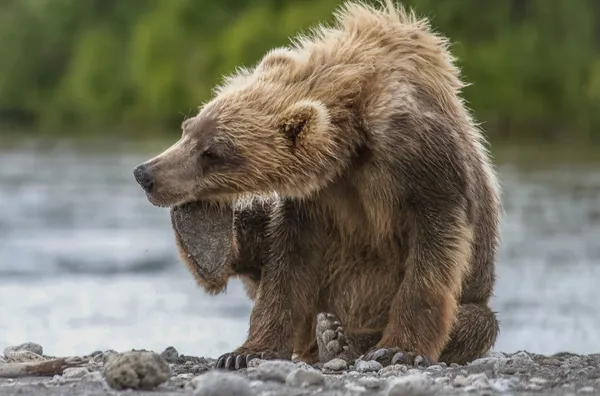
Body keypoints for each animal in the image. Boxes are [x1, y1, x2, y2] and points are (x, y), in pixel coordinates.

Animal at [132, 0, 502, 370]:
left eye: (213, 152)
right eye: (188, 128)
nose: (146, 174)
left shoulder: (423, 162)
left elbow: (432, 251)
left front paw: (399, 348)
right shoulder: (314, 198)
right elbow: (287, 264)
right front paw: (247, 351)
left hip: (475, 298)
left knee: (478, 323)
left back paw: (340, 338)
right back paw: (205, 240)